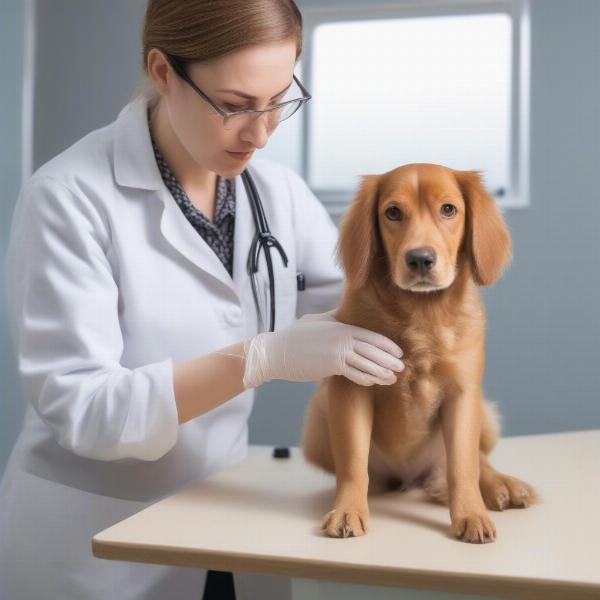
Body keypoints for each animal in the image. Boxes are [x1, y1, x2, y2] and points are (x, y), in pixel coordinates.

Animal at [300, 163, 540, 544]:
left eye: (449, 209)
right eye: (393, 212)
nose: (420, 259)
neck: (421, 313)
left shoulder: (463, 394)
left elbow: (463, 465)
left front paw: (471, 514)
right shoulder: (350, 387)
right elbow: (353, 463)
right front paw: (348, 509)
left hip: (484, 414)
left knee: (472, 460)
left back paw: (501, 485)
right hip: (318, 420)